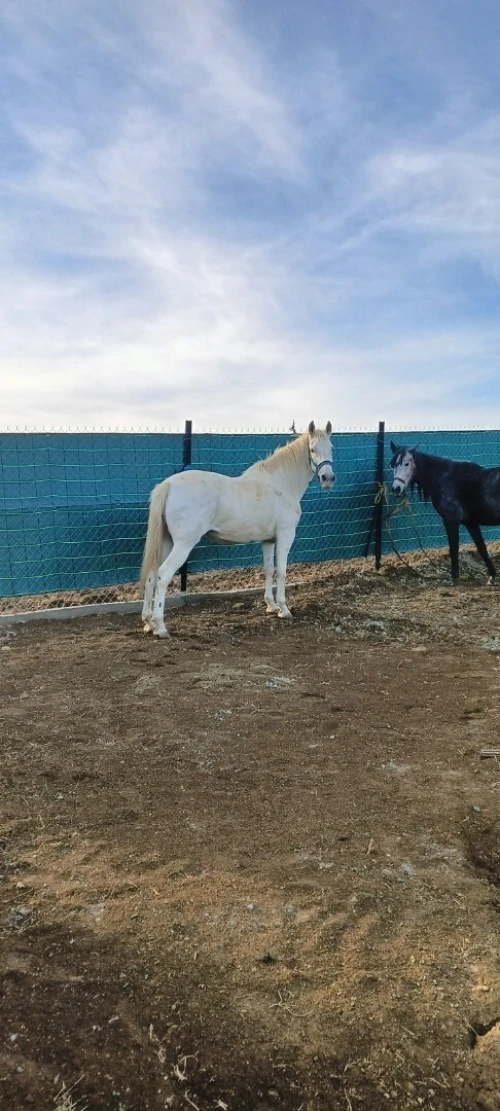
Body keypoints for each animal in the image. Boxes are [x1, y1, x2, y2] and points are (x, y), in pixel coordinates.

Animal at [141, 421, 335, 637]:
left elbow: (269, 569)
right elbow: (282, 571)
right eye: (312, 449)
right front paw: (284, 610)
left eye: (331, 448)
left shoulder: (268, 540)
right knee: (163, 574)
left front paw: (271, 605)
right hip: (183, 544)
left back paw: (148, 622)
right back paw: (161, 627)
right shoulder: (285, 535)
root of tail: (168, 485)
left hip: (167, 541)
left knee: (151, 574)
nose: (328, 478)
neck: (280, 484)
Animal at [390, 440, 500, 584]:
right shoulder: (470, 523)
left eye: (407, 463)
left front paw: (454, 578)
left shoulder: (451, 520)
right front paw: (492, 576)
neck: (444, 477)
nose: (396, 489)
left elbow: (453, 548)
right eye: (392, 465)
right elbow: (481, 548)